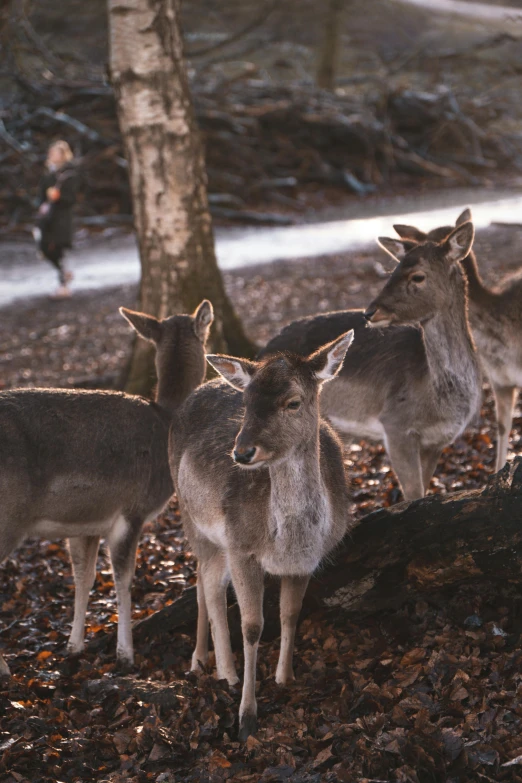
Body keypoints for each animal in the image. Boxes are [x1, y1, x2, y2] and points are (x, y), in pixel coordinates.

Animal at [0, 298, 212, 676]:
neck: (166, 421)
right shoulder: (132, 509)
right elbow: (123, 578)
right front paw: (126, 655)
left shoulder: (84, 521)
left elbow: (83, 576)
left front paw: (74, 647)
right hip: (8, 514)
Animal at [169, 330, 352, 740]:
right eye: (247, 402)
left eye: (293, 402)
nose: (241, 452)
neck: (288, 538)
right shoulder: (242, 547)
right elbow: (252, 627)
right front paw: (247, 716)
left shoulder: (304, 561)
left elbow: (290, 613)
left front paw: (286, 678)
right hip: (191, 515)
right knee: (208, 584)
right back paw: (221, 670)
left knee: (203, 579)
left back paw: (206, 662)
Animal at [260, 220, 480, 502]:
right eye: (392, 270)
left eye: (418, 276)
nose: (370, 311)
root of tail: (263, 350)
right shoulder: (395, 425)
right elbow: (414, 494)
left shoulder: (438, 441)